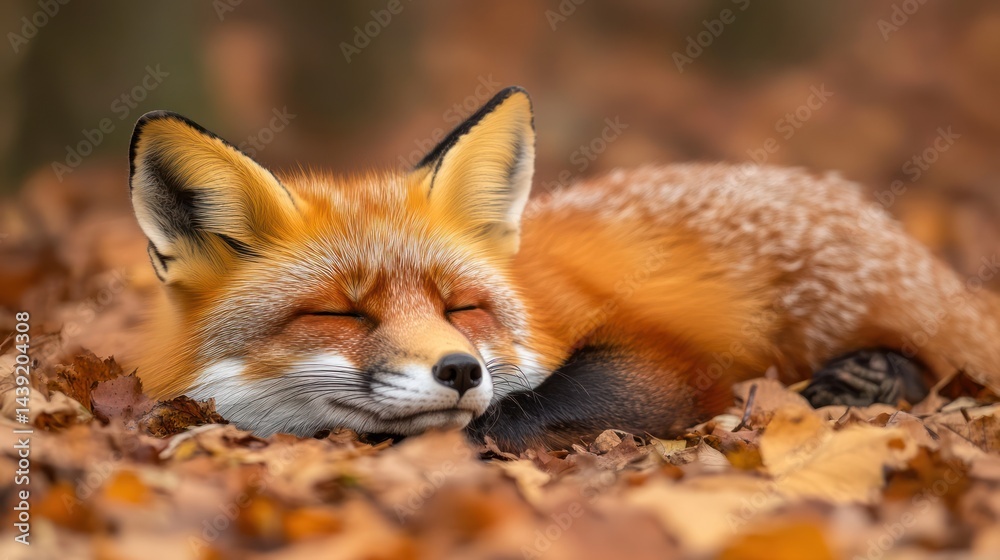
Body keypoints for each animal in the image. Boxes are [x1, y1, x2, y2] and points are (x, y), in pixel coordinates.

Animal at [128, 87, 1000, 451]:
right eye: (341, 315)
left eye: (463, 307)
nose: (459, 370)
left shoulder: (672, 359)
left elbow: (520, 411)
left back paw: (870, 379)